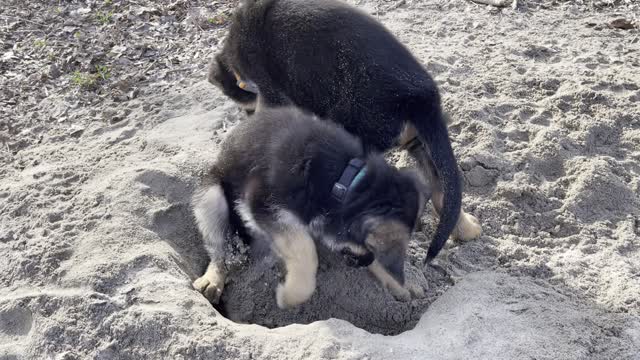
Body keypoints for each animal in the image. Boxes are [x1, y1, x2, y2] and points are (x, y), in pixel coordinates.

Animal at [192, 106, 428, 306]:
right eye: (370, 245)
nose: (365, 261)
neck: (345, 180)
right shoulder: (263, 203)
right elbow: (305, 249)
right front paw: (290, 295)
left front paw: (402, 285)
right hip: (211, 196)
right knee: (220, 246)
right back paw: (213, 279)